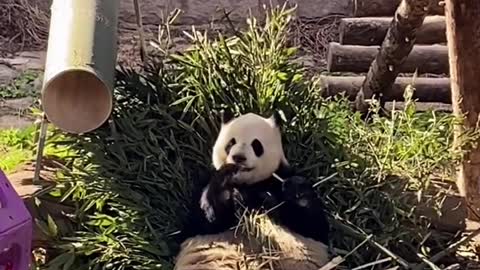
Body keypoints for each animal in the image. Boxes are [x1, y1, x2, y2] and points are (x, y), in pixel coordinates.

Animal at [174, 110, 332, 270]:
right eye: (231, 143)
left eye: (256, 145)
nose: (238, 157)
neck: (248, 184)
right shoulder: (203, 185)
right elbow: (207, 221)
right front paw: (227, 186)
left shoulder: (280, 177)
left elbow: (312, 225)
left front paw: (294, 189)